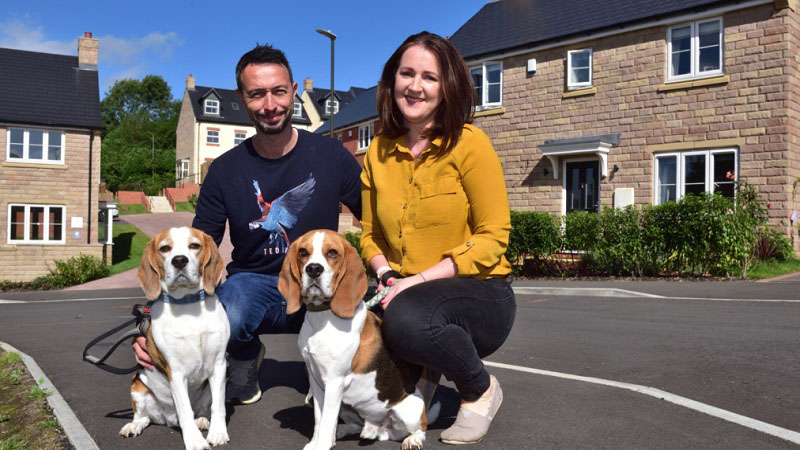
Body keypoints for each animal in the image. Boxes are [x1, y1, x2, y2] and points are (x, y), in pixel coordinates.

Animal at [120, 227, 230, 450]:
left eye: (194, 245)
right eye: (164, 248)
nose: (179, 260)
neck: (188, 304)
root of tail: (169, 419)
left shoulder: (219, 365)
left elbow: (218, 406)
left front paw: (218, 433)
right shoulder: (176, 372)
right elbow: (185, 410)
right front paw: (195, 441)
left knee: (201, 410)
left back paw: (202, 420)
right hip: (137, 386)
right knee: (143, 418)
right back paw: (132, 426)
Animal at [276, 230, 438, 448]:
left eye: (332, 253)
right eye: (303, 252)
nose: (313, 269)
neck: (323, 318)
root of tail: (379, 430)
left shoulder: (334, 382)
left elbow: (326, 421)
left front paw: (323, 445)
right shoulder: (316, 382)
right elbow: (320, 419)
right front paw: (315, 443)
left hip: (411, 409)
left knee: (421, 429)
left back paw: (412, 440)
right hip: (346, 406)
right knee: (353, 425)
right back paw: (341, 432)